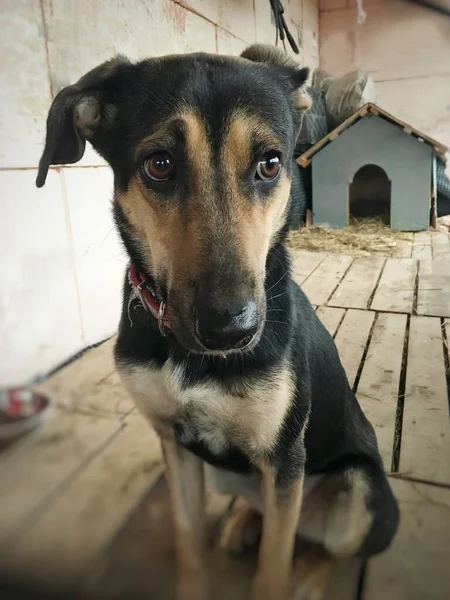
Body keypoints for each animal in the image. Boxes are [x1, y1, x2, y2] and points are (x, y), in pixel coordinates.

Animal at [37, 44, 400, 596]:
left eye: (270, 164)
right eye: (159, 164)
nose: (231, 331)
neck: (186, 356)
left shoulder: (284, 456)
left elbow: (274, 564)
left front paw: (283, 577)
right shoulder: (176, 445)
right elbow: (189, 541)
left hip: (360, 492)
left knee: (328, 545)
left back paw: (308, 576)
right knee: (269, 511)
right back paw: (242, 525)